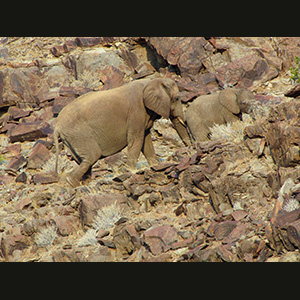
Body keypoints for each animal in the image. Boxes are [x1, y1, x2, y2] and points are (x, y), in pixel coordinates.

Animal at [54, 77, 190, 188]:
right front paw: (131, 172)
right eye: (177, 98)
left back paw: (82, 184)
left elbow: (146, 141)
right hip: (79, 134)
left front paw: (155, 165)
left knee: (84, 160)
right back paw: (72, 182)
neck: (153, 81)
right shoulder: (136, 112)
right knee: (92, 156)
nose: (190, 148)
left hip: (70, 139)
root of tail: (57, 125)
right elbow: (136, 140)